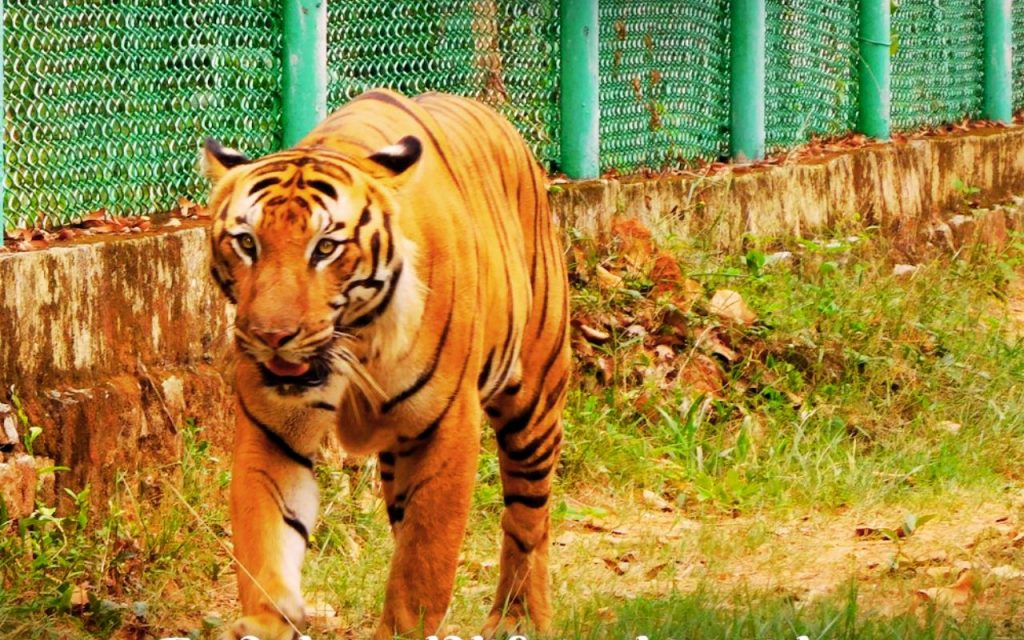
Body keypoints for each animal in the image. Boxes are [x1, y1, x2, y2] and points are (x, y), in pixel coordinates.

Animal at [198, 90, 569, 638]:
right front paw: (269, 620)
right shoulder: (272, 431)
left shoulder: (448, 428)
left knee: (528, 516)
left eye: (325, 248)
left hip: (533, 401)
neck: (358, 344)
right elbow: (266, 538)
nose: (271, 337)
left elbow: (425, 561)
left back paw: (520, 616)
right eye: (248, 243)